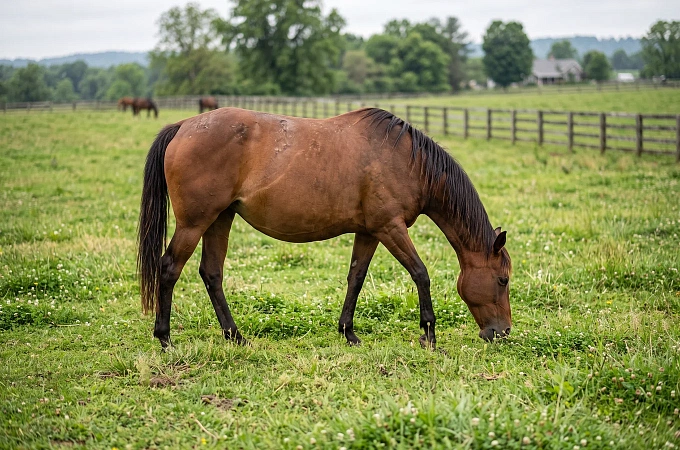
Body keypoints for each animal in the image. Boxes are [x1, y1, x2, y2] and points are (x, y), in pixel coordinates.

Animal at [138, 107, 512, 350]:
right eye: (503, 280)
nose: (502, 332)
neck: (407, 161)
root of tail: (184, 125)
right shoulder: (390, 228)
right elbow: (420, 273)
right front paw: (429, 334)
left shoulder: (370, 232)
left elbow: (356, 277)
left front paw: (348, 332)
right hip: (195, 223)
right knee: (169, 268)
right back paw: (165, 338)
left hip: (220, 219)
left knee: (211, 273)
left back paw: (235, 336)